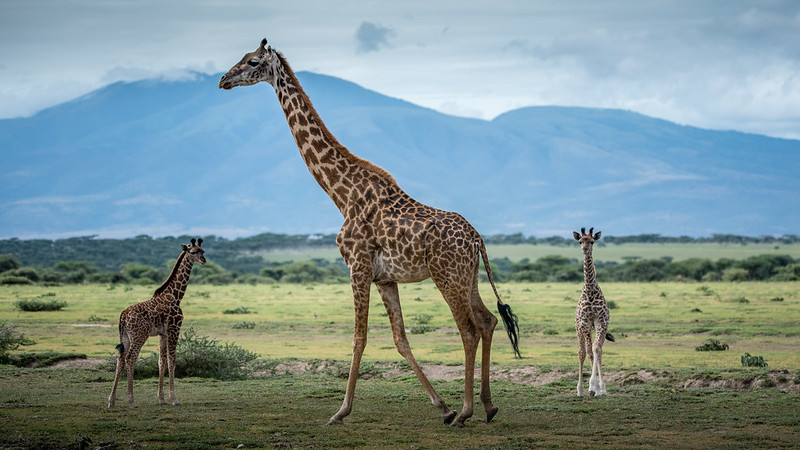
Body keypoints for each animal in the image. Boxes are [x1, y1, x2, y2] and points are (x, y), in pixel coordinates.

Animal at [106, 239, 206, 408]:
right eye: (193, 252)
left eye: (203, 251)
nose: (204, 260)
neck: (176, 296)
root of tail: (123, 316)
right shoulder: (174, 329)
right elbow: (172, 361)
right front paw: (174, 399)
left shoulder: (163, 333)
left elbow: (161, 361)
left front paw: (161, 398)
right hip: (139, 336)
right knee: (130, 358)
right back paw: (131, 401)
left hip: (125, 337)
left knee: (120, 359)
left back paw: (111, 401)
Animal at [219, 37, 520, 426]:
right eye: (241, 58)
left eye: (253, 62)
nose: (224, 80)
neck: (341, 194)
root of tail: (476, 238)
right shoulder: (384, 278)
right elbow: (400, 338)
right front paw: (441, 405)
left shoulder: (357, 266)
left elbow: (359, 337)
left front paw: (340, 411)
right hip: (468, 276)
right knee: (488, 321)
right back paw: (487, 406)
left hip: (446, 276)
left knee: (468, 329)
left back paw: (467, 411)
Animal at [572, 229, 616, 398]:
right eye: (580, 241)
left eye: (592, 241)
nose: (585, 249)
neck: (590, 288)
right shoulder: (585, 322)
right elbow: (589, 352)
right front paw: (591, 387)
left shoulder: (601, 321)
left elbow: (597, 349)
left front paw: (598, 387)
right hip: (579, 328)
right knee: (581, 351)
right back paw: (580, 390)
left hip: (597, 326)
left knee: (598, 350)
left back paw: (599, 389)